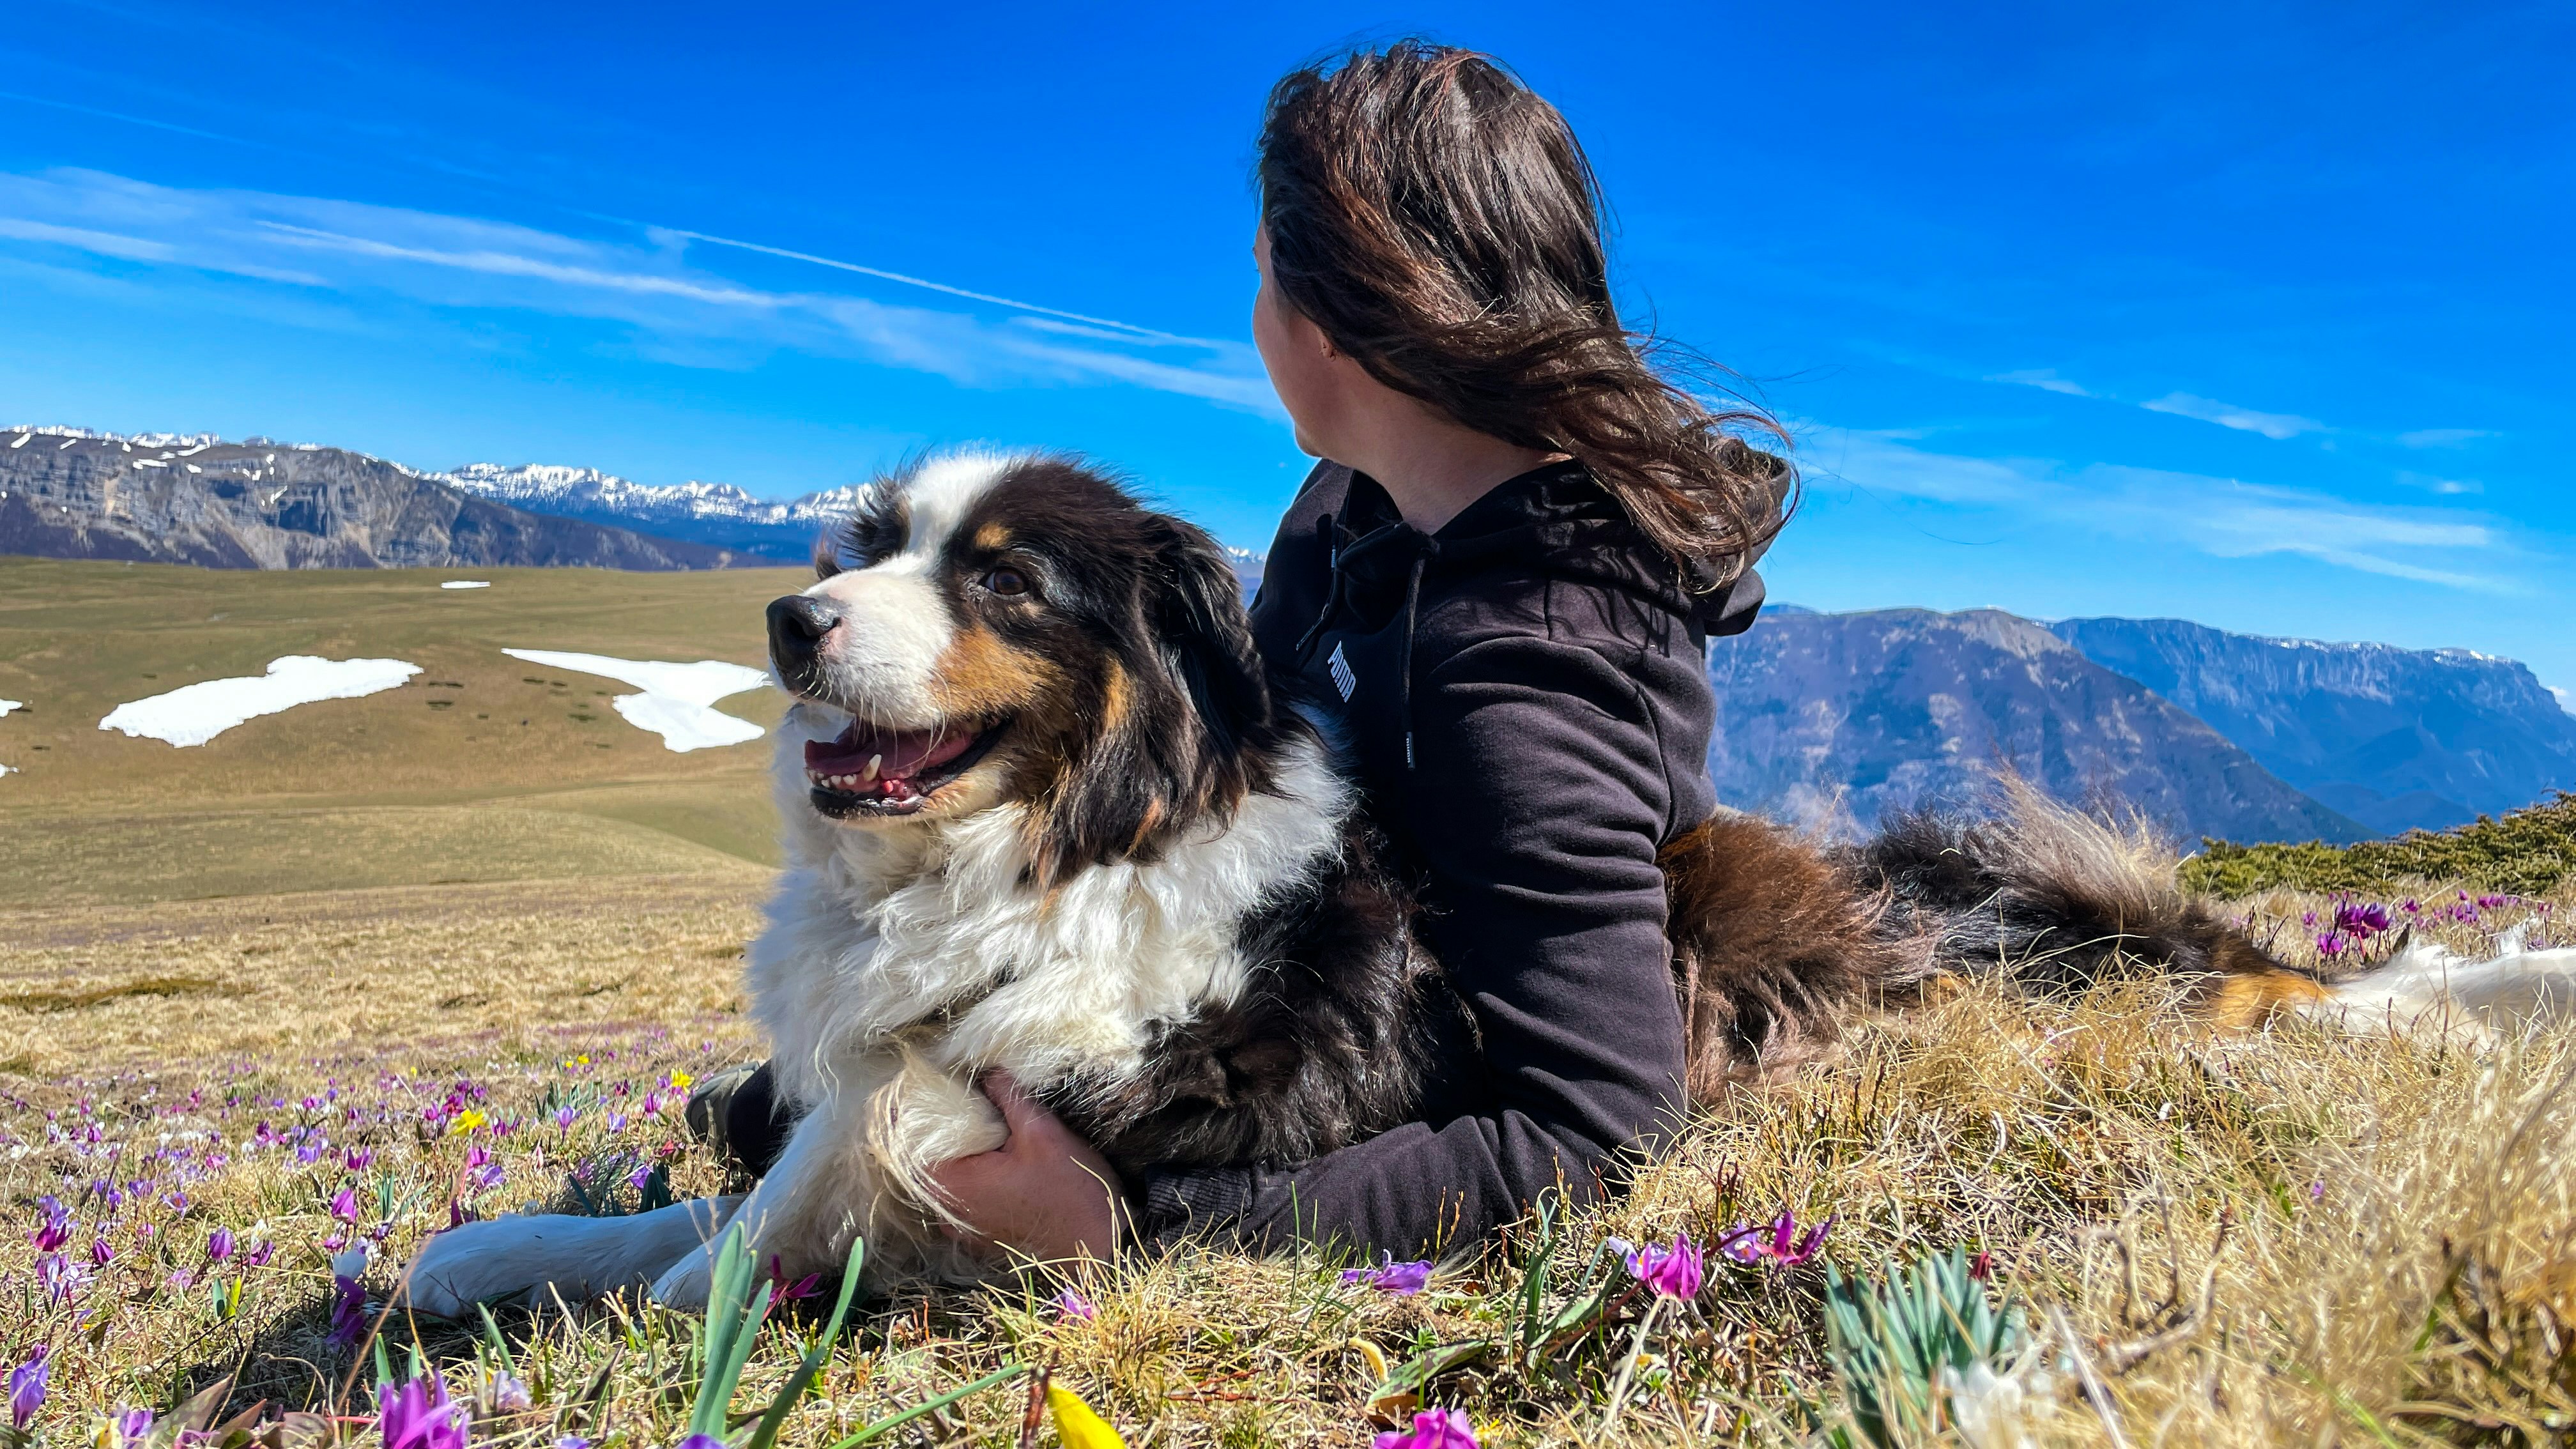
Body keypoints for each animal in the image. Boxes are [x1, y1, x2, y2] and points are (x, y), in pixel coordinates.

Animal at [407, 446, 2514, 1305]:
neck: (1063, 849)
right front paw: (479, 1255)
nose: (785, 619)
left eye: (1001, 580)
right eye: (866, 548)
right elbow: (703, 1213)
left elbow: (741, 1248)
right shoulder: (870, 1088)